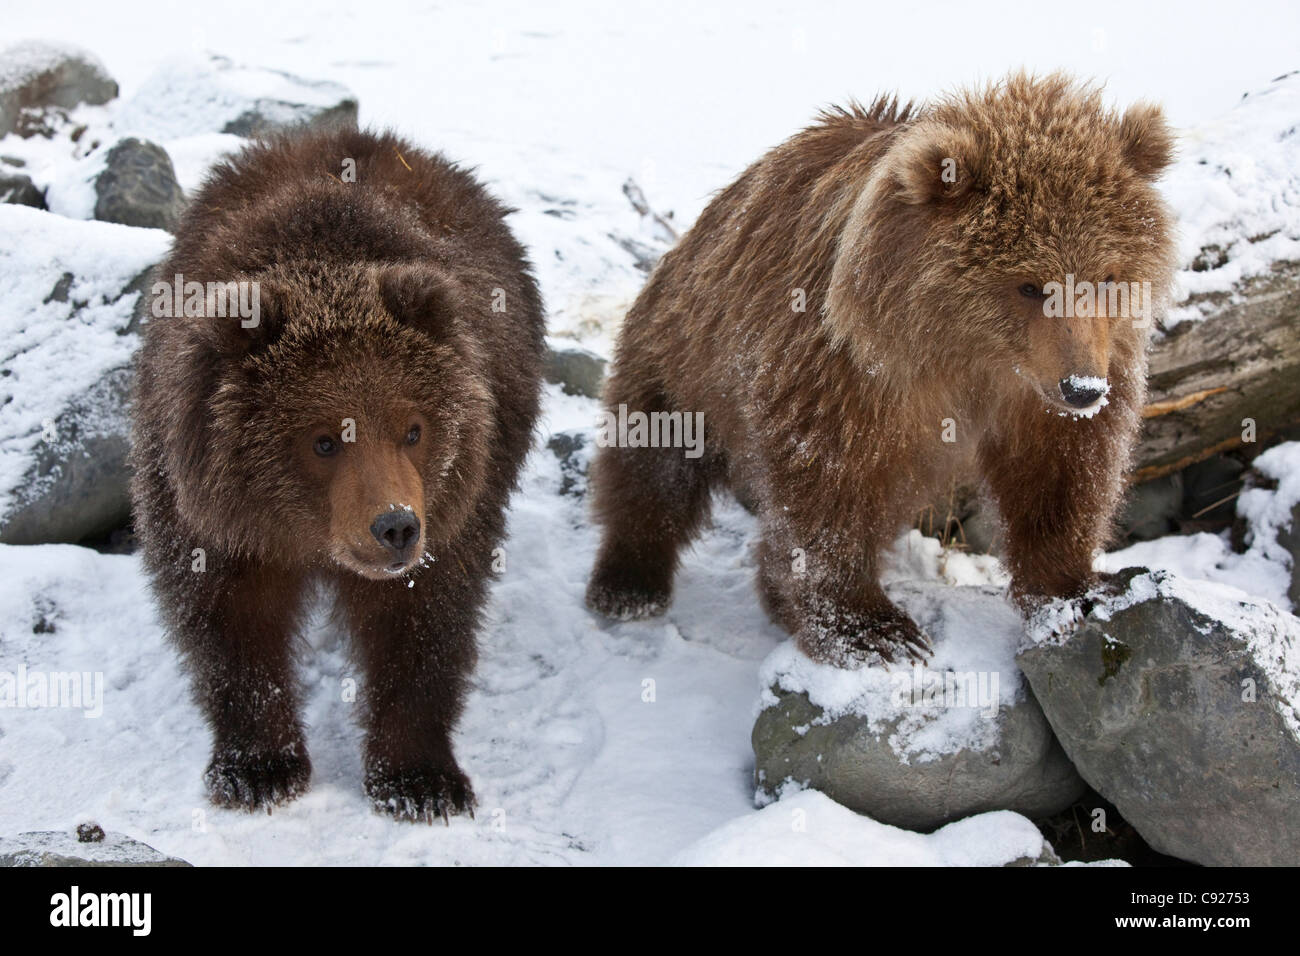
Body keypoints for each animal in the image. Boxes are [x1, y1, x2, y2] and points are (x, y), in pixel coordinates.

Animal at [128, 128, 543, 822]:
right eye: (323, 440)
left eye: (413, 428)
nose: (395, 527)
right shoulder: (209, 509)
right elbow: (229, 621)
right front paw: (258, 768)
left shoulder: (456, 502)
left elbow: (423, 623)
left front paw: (420, 780)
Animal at [590, 74, 1180, 671]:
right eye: (1029, 284)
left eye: (1107, 277)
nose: (1083, 389)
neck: (966, 350)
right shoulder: (844, 370)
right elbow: (828, 486)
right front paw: (872, 630)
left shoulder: (1048, 381)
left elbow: (1060, 471)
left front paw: (1078, 588)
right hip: (681, 352)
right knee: (654, 462)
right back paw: (628, 583)